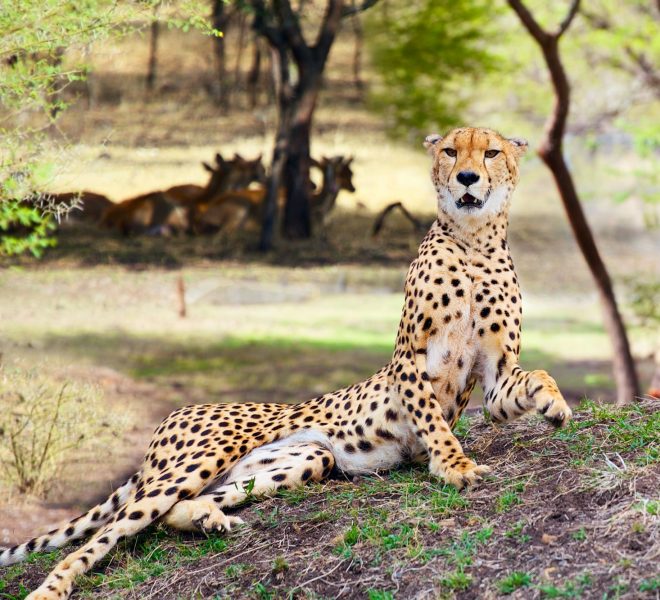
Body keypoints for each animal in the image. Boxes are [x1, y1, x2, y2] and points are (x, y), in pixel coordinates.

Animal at [1, 127, 572, 599]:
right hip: (199, 459)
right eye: (452, 151)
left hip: (303, 459)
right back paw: (51, 590)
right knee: (106, 534)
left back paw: (209, 518)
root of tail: (177, 414)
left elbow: (532, 378)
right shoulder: (409, 358)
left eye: (490, 152)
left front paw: (554, 404)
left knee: (170, 515)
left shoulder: (495, 375)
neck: (474, 241)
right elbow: (434, 421)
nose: (468, 177)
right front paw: (454, 466)